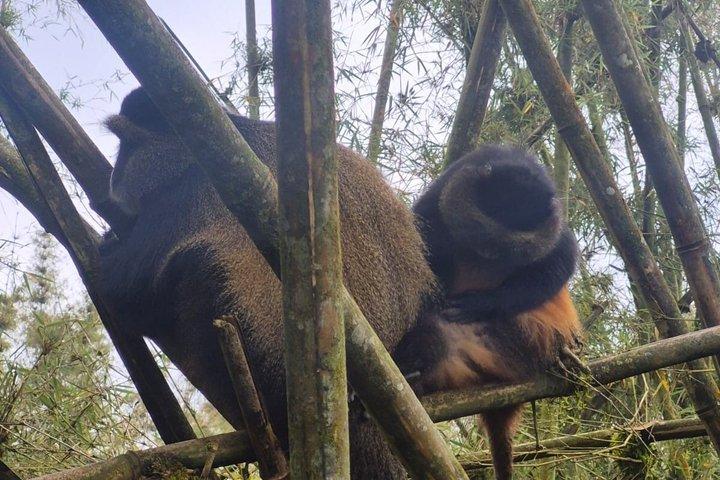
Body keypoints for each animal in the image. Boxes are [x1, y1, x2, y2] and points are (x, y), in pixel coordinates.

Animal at [394, 145, 583, 480]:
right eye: (482, 238)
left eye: (513, 251)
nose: (490, 257)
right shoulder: (443, 190)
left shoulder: (554, 224)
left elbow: (561, 260)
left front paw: (481, 302)